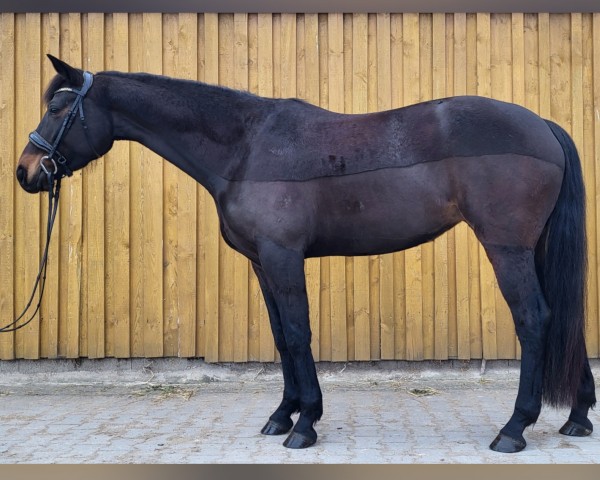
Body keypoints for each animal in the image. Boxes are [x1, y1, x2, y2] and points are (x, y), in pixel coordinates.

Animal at [15, 54, 596, 452]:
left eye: (58, 107)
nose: (25, 171)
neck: (245, 148)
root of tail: (543, 126)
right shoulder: (261, 263)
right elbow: (280, 337)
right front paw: (282, 415)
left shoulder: (282, 257)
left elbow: (297, 333)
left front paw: (306, 423)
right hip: (532, 248)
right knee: (565, 318)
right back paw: (577, 416)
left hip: (507, 248)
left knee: (535, 319)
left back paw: (514, 429)